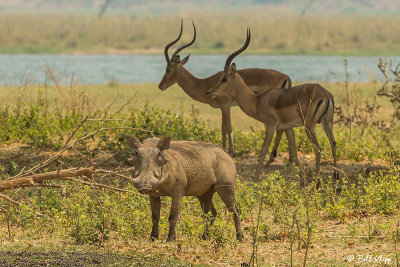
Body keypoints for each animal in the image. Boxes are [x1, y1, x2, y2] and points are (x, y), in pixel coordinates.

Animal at [159, 19, 296, 166]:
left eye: (168, 69)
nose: (160, 86)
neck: (204, 83)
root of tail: (286, 77)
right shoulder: (222, 107)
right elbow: (223, 128)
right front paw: (223, 150)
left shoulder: (225, 105)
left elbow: (228, 127)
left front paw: (231, 152)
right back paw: (286, 159)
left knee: (281, 129)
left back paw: (274, 159)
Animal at [206, 29, 338, 181]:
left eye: (224, 78)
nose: (209, 92)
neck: (258, 101)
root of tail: (326, 95)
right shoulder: (288, 128)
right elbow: (294, 151)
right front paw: (302, 180)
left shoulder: (271, 125)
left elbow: (263, 149)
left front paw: (256, 178)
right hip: (327, 122)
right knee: (333, 143)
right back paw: (336, 178)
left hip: (309, 126)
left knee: (318, 149)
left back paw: (316, 181)